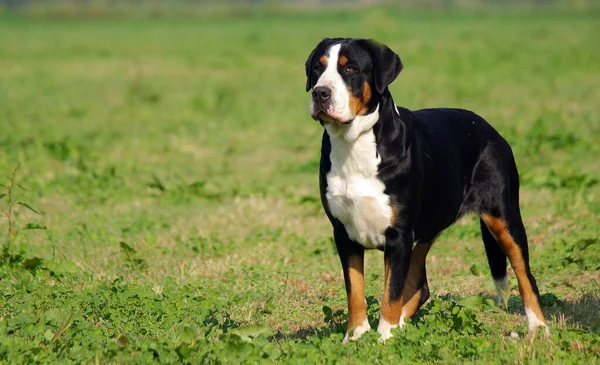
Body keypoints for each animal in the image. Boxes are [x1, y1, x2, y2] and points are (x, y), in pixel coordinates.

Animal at [304, 37, 548, 342]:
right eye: (318, 67)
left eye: (350, 69)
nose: (320, 93)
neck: (354, 146)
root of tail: (487, 126)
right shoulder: (344, 233)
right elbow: (356, 291)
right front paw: (356, 336)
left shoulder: (398, 236)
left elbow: (391, 294)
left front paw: (384, 338)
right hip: (423, 231)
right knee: (421, 287)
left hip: (503, 217)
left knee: (525, 273)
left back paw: (538, 327)